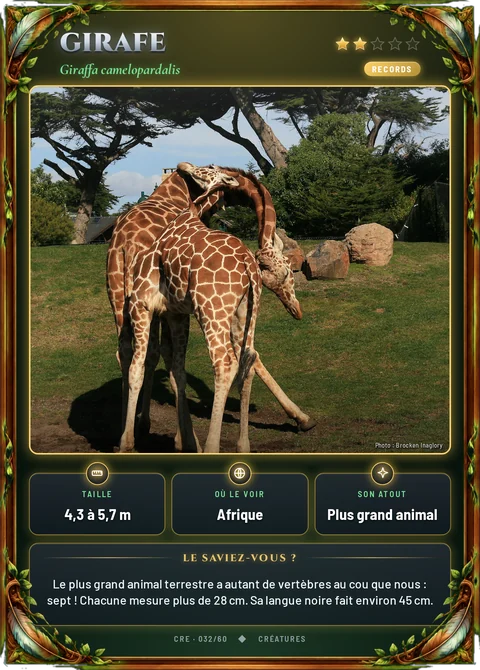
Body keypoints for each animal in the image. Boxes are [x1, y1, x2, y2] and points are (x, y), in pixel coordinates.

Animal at [121, 201, 262, 453]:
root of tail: (249, 263)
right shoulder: (175, 314)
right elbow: (178, 373)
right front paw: (186, 442)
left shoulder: (141, 306)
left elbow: (136, 369)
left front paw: (126, 442)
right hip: (244, 313)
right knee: (249, 363)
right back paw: (243, 445)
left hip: (211, 309)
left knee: (225, 364)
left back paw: (211, 447)